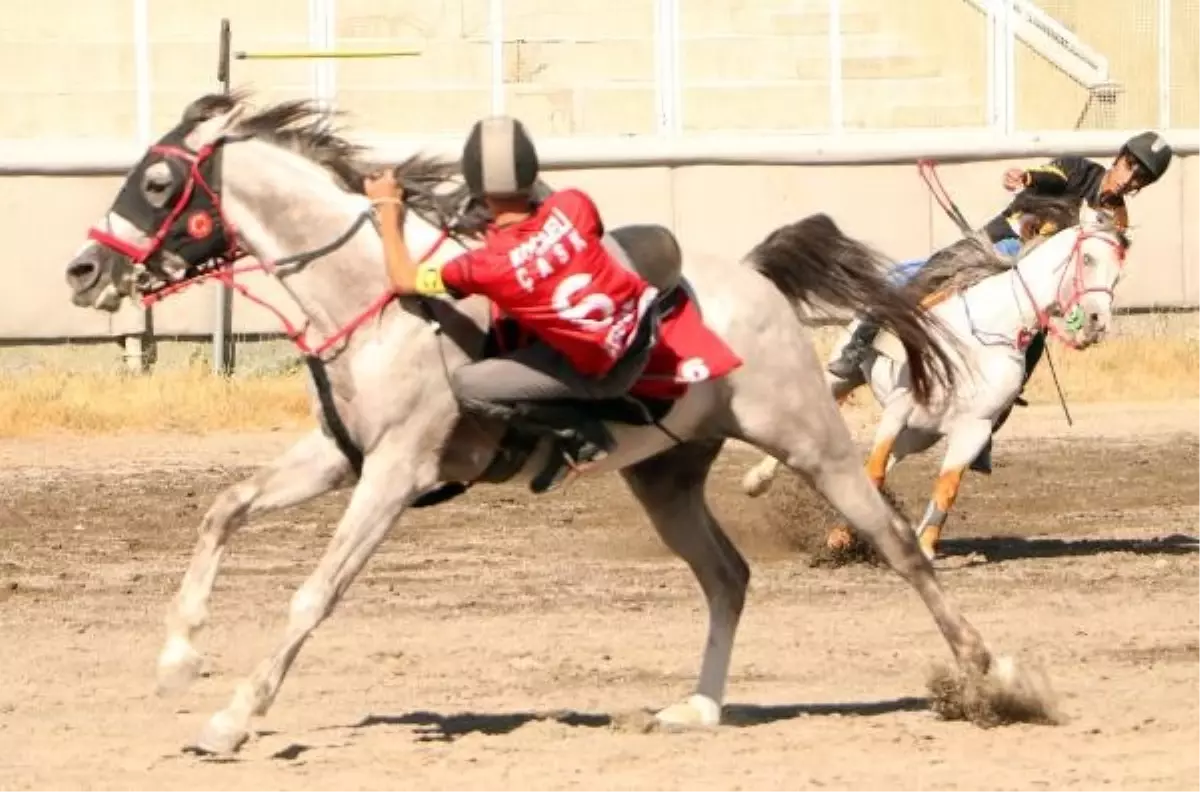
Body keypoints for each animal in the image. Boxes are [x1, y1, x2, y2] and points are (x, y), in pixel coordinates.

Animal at [60, 94, 1051, 753]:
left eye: (158, 181)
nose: (81, 271)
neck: (382, 303)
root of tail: (754, 277)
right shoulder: (337, 456)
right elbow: (223, 508)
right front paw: (178, 657)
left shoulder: (396, 471)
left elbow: (316, 591)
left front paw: (233, 715)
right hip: (666, 475)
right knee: (728, 578)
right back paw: (697, 707)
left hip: (809, 440)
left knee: (897, 542)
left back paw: (996, 680)